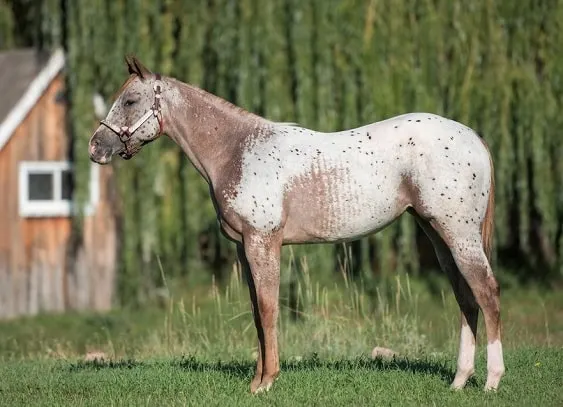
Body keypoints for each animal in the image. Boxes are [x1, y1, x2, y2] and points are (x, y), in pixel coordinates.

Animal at [89, 55, 506, 394]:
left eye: (130, 100)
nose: (95, 147)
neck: (238, 150)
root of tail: (473, 137)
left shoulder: (263, 243)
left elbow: (268, 307)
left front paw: (267, 382)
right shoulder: (244, 247)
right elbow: (257, 312)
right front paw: (256, 380)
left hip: (459, 234)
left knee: (486, 293)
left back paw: (491, 381)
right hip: (437, 234)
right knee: (466, 298)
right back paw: (459, 381)